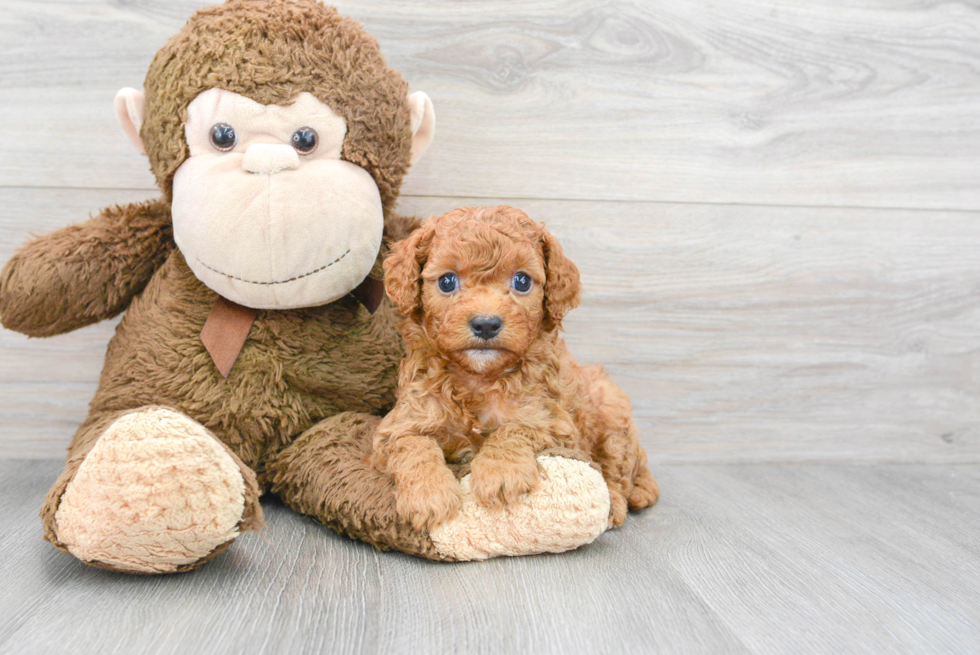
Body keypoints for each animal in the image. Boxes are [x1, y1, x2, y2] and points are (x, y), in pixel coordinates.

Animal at [374, 206, 660, 532]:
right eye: (447, 282)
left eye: (521, 281)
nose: (486, 324)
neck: (478, 378)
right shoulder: (402, 423)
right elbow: (413, 445)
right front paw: (429, 494)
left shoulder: (551, 422)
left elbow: (513, 428)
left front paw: (500, 473)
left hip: (612, 412)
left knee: (617, 472)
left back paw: (616, 503)